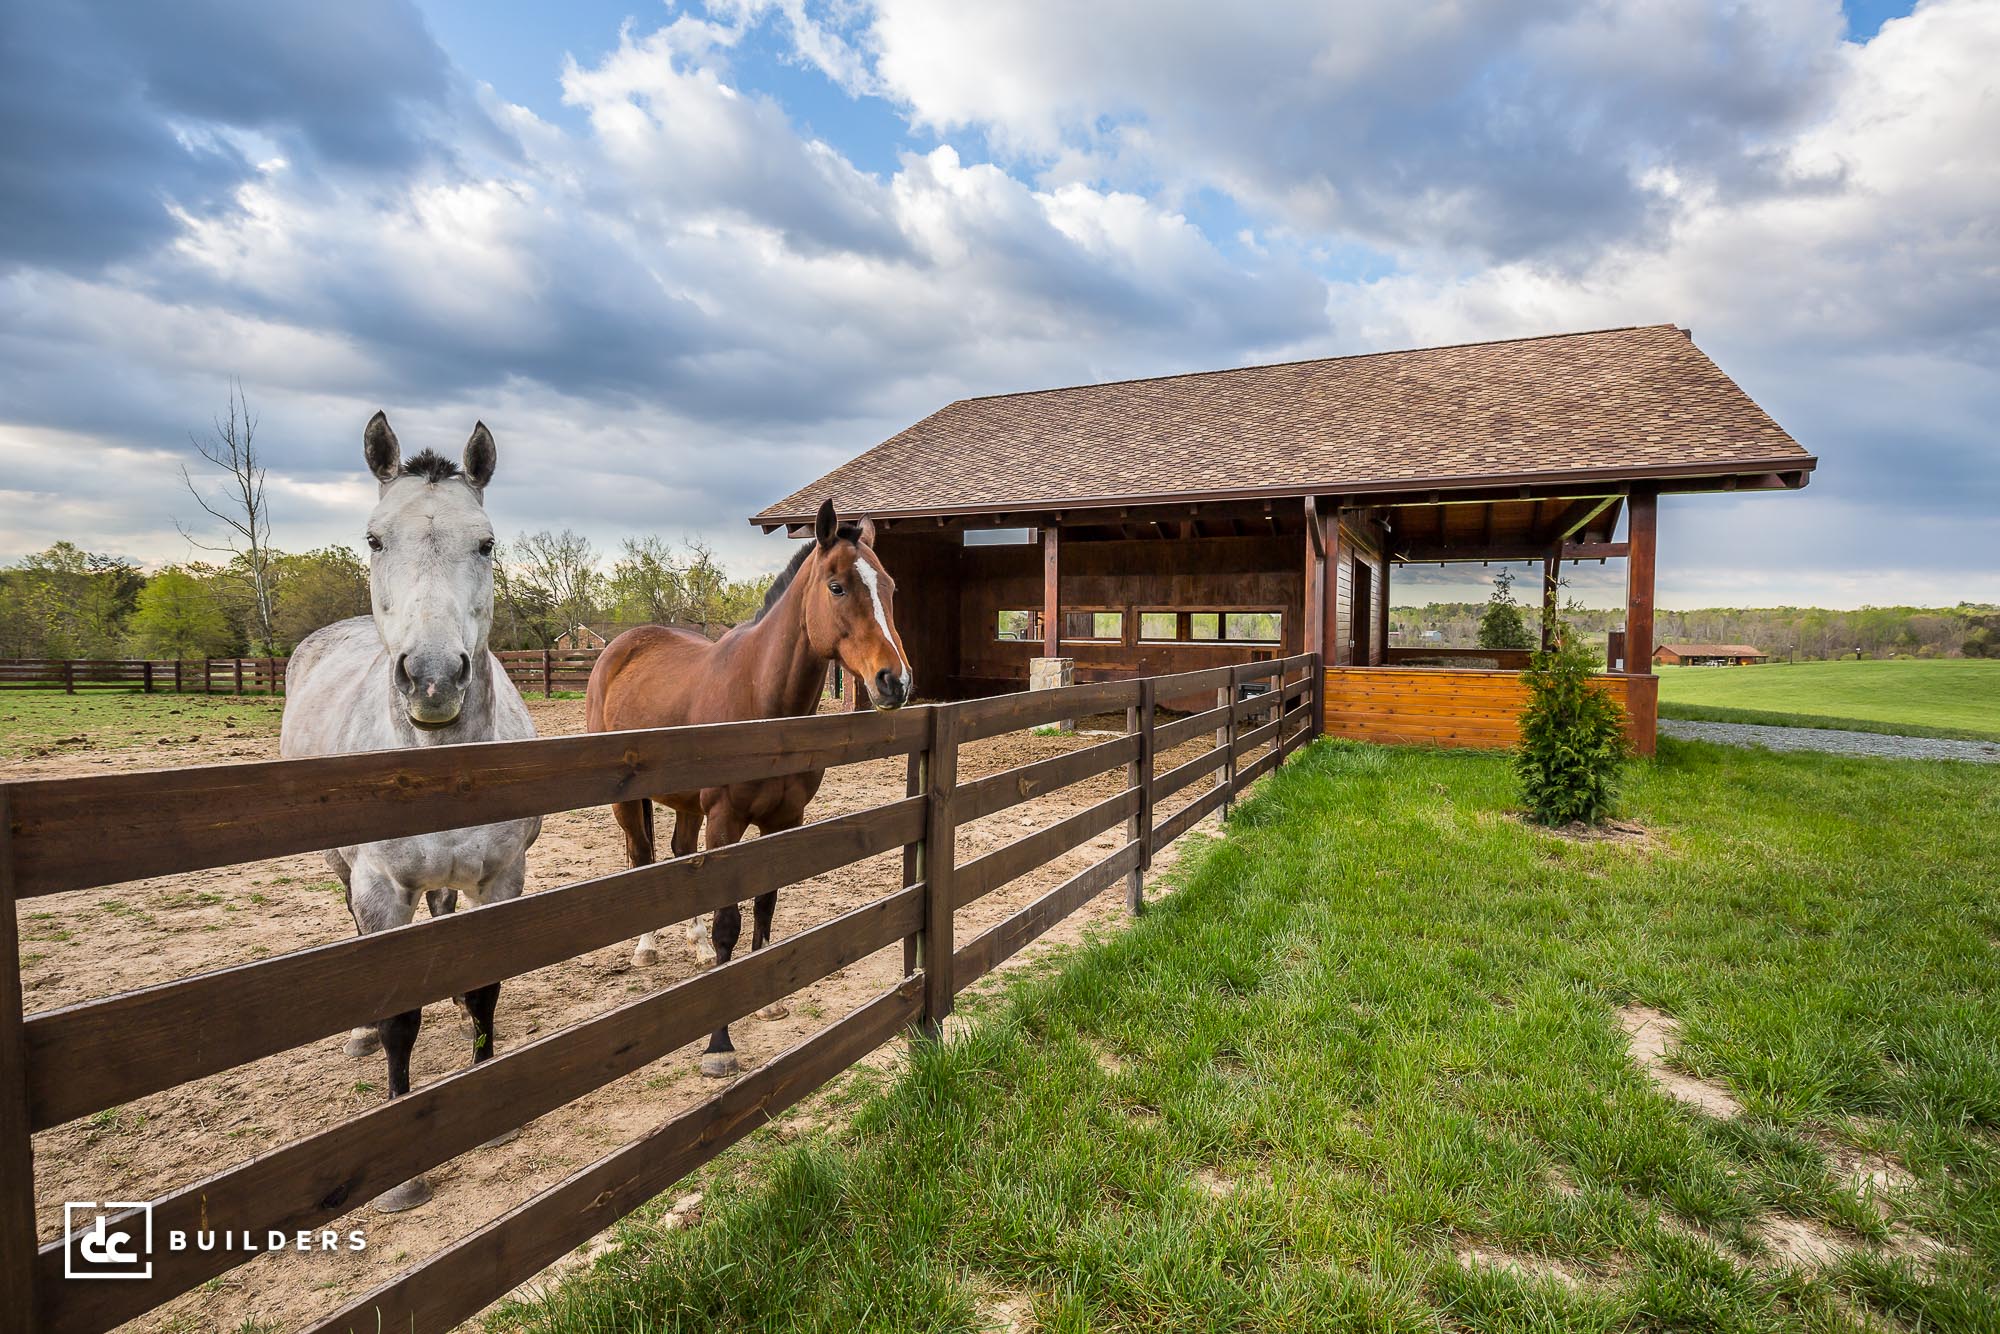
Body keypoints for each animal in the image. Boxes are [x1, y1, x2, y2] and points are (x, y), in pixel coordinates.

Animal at [279, 412, 541, 1212]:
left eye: (485, 543)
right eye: (374, 539)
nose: (431, 677)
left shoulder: (502, 877)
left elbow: (485, 984)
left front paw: (488, 1102)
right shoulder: (380, 888)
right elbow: (400, 1013)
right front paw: (401, 1171)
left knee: (444, 915)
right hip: (343, 870)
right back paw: (360, 1033)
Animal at [585, 498, 911, 1078]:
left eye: (890, 587)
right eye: (837, 586)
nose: (894, 681)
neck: (762, 700)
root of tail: (618, 648)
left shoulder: (783, 820)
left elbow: (764, 906)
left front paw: (768, 998)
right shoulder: (726, 821)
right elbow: (728, 923)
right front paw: (719, 1044)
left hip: (687, 807)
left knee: (679, 853)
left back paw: (692, 948)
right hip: (631, 801)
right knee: (643, 856)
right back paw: (647, 948)